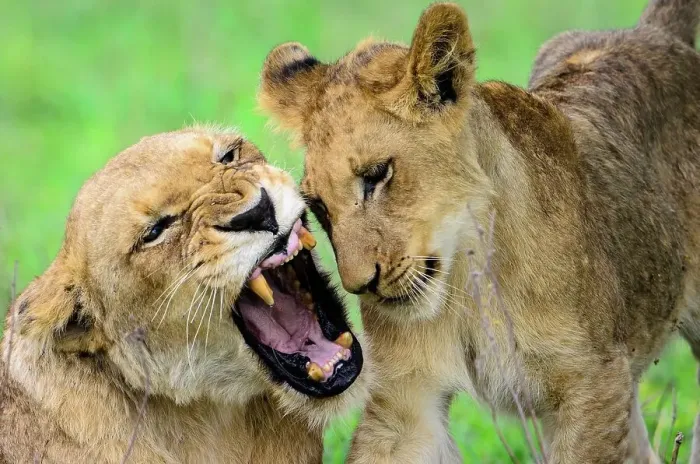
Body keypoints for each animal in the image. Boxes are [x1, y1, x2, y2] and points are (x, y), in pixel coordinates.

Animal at [258, 0, 700, 462]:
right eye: (318, 206)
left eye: (377, 175)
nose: (360, 286)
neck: (469, 273)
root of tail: (652, 33)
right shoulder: (404, 402)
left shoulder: (591, 381)